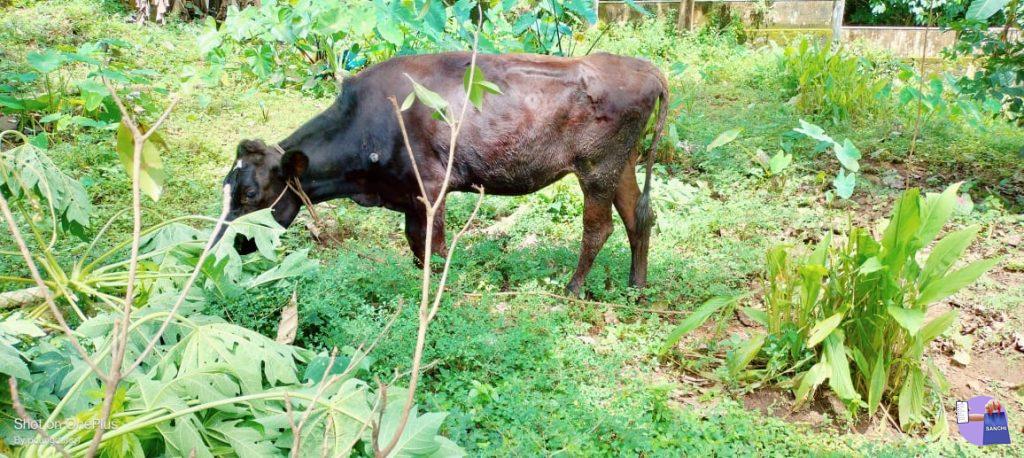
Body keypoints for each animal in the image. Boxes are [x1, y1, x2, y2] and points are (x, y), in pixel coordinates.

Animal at [219, 52, 668, 295]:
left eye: (251, 195)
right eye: (227, 186)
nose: (220, 249)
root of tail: (647, 69)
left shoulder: (431, 189)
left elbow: (430, 248)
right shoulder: (408, 197)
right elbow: (415, 246)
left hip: (597, 167)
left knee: (599, 227)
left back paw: (573, 289)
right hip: (623, 163)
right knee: (638, 218)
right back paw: (637, 286)